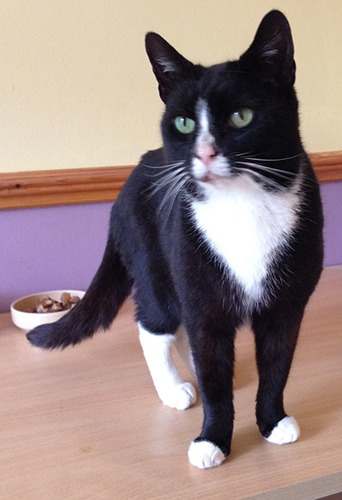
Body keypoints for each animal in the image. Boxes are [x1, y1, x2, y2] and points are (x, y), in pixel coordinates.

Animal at [27, 11, 324, 470]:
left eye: (241, 116)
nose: (203, 152)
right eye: (184, 123)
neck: (243, 204)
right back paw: (175, 388)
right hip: (155, 261)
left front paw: (273, 422)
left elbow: (277, 365)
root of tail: (128, 180)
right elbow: (215, 381)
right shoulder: (201, 294)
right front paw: (212, 440)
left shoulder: (286, 306)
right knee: (154, 324)